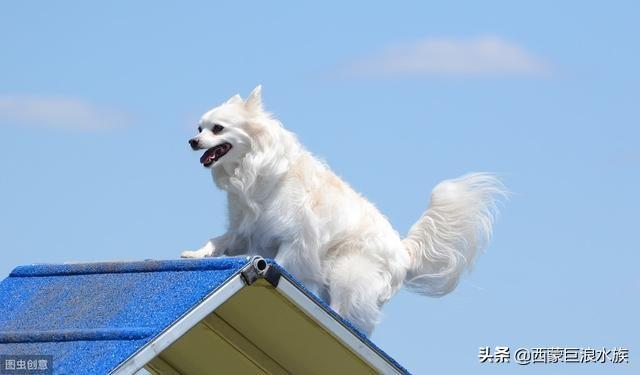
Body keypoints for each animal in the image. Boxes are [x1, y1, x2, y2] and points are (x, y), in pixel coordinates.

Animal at [182, 86, 508, 336]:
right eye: (199, 128)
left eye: (217, 128)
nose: (192, 141)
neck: (251, 170)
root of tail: (404, 252)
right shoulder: (245, 228)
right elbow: (219, 240)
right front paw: (195, 254)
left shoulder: (295, 242)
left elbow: (282, 263)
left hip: (346, 274)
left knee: (346, 313)